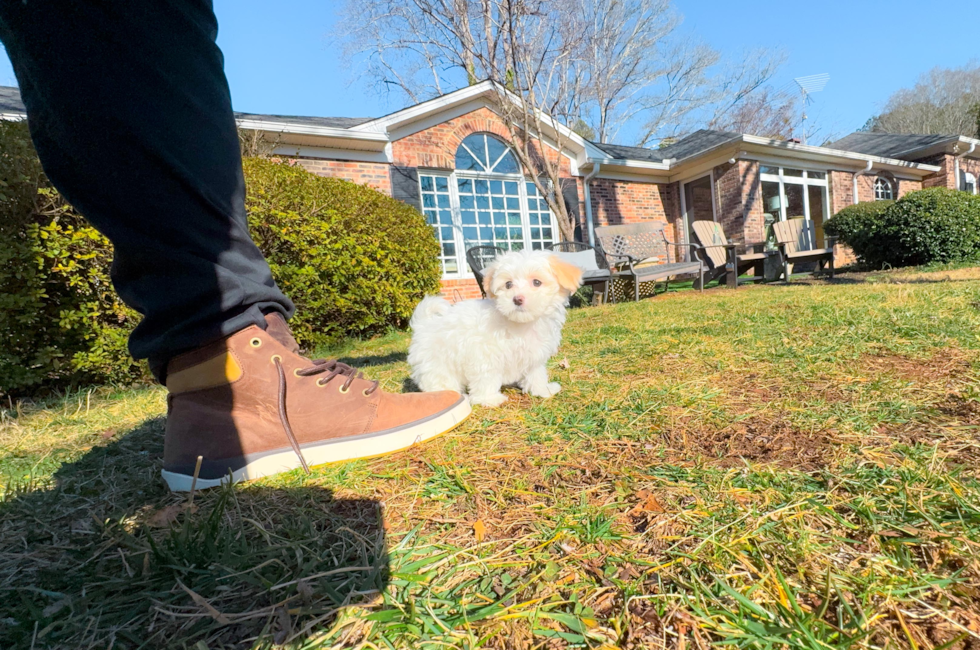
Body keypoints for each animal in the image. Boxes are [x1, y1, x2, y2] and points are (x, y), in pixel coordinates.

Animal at [408, 248, 580, 404]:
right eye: (508, 284)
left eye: (536, 282)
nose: (517, 299)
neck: (520, 323)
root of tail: (423, 324)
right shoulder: (484, 354)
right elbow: (486, 377)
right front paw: (488, 399)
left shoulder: (535, 354)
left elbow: (536, 374)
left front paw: (543, 390)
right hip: (436, 362)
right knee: (438, 379)